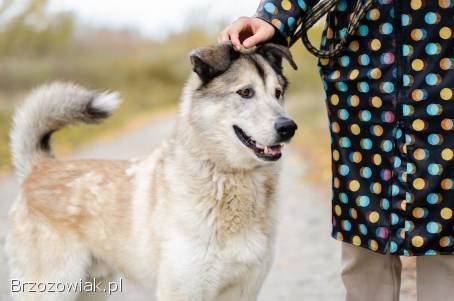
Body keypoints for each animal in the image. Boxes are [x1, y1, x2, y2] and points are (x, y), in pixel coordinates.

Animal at [7, 42, 298, 300]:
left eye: (277, 93)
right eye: (245, 92)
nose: (288, 127)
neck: (232, 178)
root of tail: (41, 166)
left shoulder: (243, 290)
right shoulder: (181, 291)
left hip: (92, 289)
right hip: (53, 287)